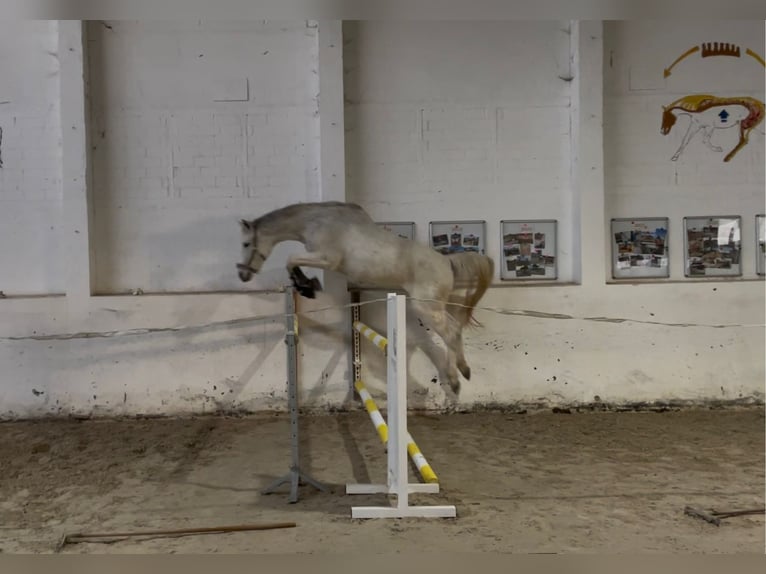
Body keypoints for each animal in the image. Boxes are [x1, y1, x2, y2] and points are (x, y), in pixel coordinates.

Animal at [236, 201, 495, 394]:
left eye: (246, 243)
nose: (242, 275)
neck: (317, 221)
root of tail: (447, 262)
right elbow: (293, 261)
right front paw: (306, 284)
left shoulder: (327, 258)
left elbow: (291, 259)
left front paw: (306, 285)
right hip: (435, 308)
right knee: (455, 330)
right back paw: (461, 374)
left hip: (427, 308)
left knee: (450, 333)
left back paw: (455, 378)